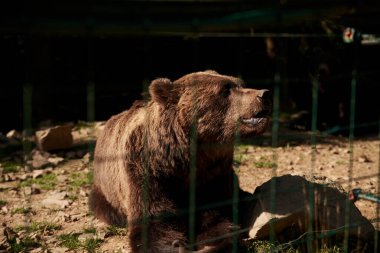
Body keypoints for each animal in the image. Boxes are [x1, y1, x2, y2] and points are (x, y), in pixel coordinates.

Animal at [90, 70, 270, 252]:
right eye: (225, 90)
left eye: (240, 84)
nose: (263, 94)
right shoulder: (146, 171)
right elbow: (155, 221)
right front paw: (176, 245)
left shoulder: (213, 173)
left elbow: (215, 218)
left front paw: (214, 244)